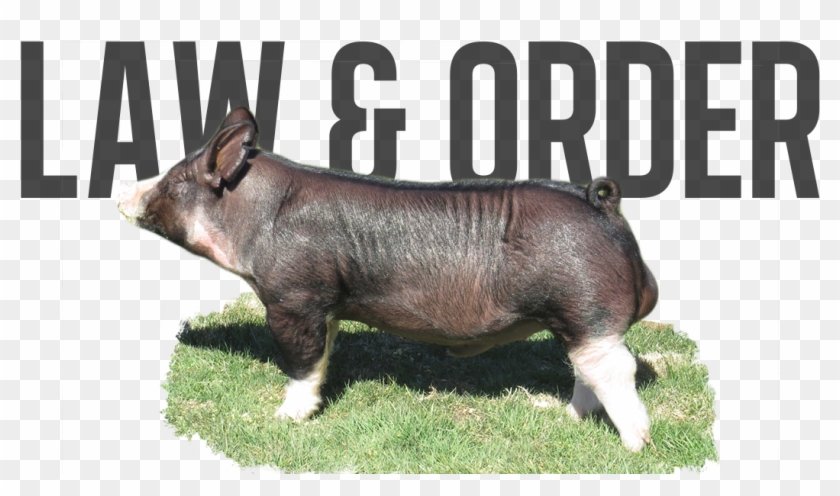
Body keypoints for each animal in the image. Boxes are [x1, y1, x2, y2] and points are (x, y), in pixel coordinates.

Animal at [117, 107, 659, 452]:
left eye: (174, 181)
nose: (121, 192)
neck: (255, 215)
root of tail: (601, 203)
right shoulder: (327, 304)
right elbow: (324, 355)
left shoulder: (293, 296)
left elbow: (300, 362)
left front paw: (283, 418)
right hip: (576, 319)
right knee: (585, 369)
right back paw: (566, 416)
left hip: (587, 306)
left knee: (615, 368)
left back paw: (634, 446)